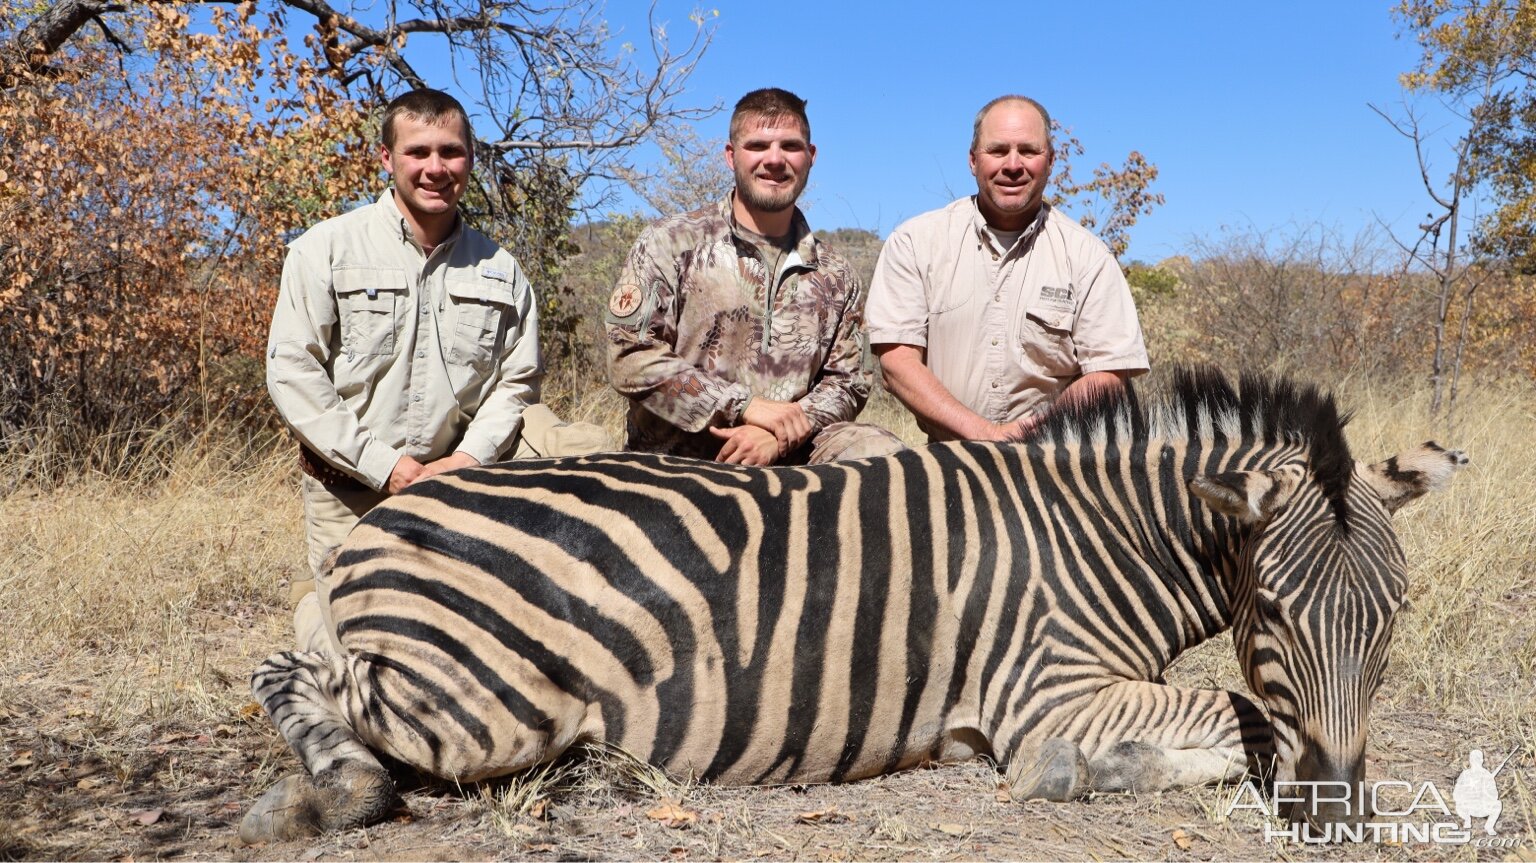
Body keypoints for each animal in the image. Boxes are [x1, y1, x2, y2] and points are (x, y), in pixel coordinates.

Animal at [239, 365, 1462, 835]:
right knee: (295, 674)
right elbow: (1235, 714)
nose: (1339, 811)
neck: (1095, 535)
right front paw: (1075, 772)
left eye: (1392, 624)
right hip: (483, 701)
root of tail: (383, 519)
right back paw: (328, 790)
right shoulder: (1044, 689)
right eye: (1276, 616)